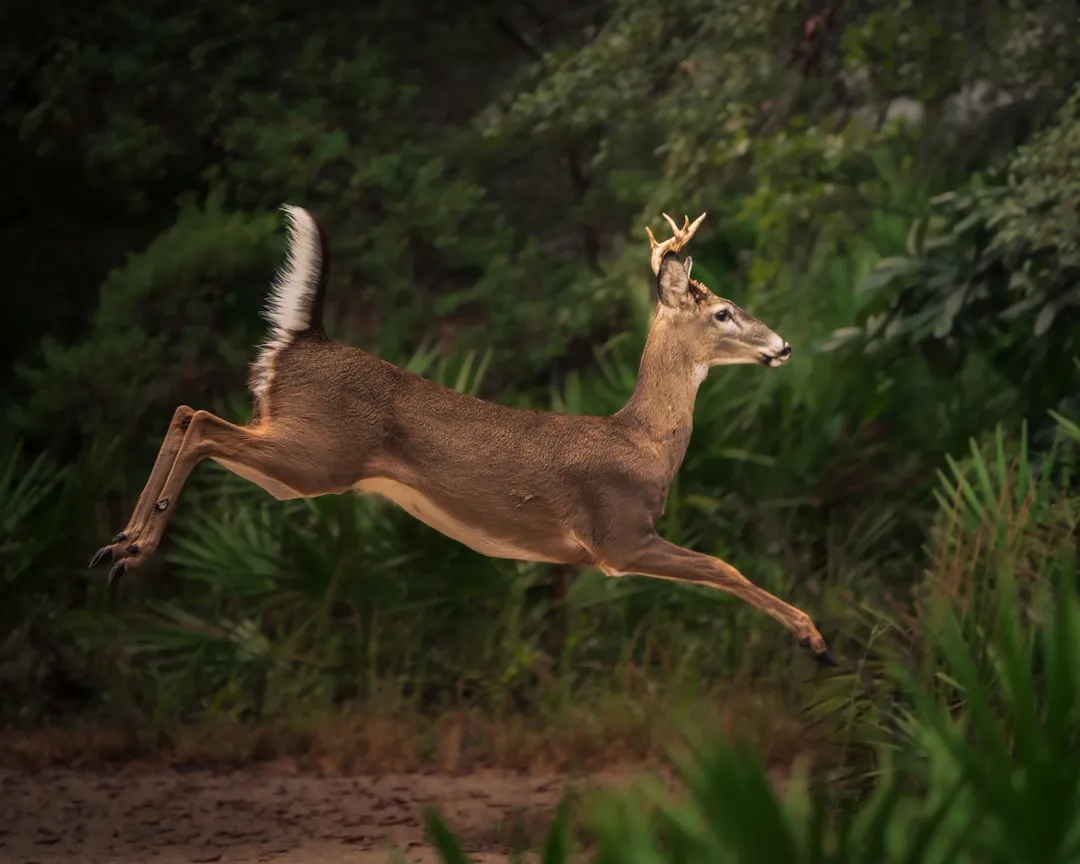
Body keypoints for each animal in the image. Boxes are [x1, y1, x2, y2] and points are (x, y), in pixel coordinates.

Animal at [88, 206, 836, 666]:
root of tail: (304, 339)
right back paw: (130, 550)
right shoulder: (617, 537)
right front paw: (815, 639)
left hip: (296, 456)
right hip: (314, 455)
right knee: (200, 421)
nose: (784, 345)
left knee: (187, 413)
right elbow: (724, 567)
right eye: (724, 311)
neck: (644, 441)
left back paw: (117, 548)